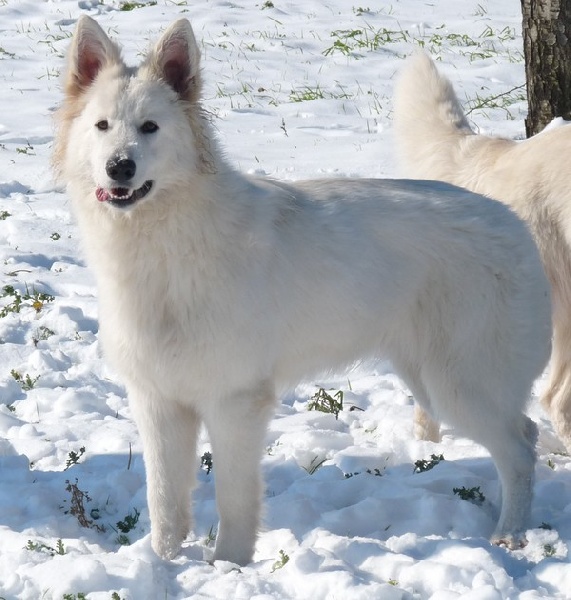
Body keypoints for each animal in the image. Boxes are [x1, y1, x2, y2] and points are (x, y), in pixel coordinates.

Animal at [53, 17, 551, 565]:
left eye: (150, 128)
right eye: (102, 126)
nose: (119, 167)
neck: (166, 246)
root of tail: (509, 219)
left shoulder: (234, 403)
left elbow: (234, 500)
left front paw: (228, 565)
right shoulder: (158, 402)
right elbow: (164, 500)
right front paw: (163, 563)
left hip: (460, 384)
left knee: (521, 449)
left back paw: (511, 534)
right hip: (426, 378)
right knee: (522, 433)